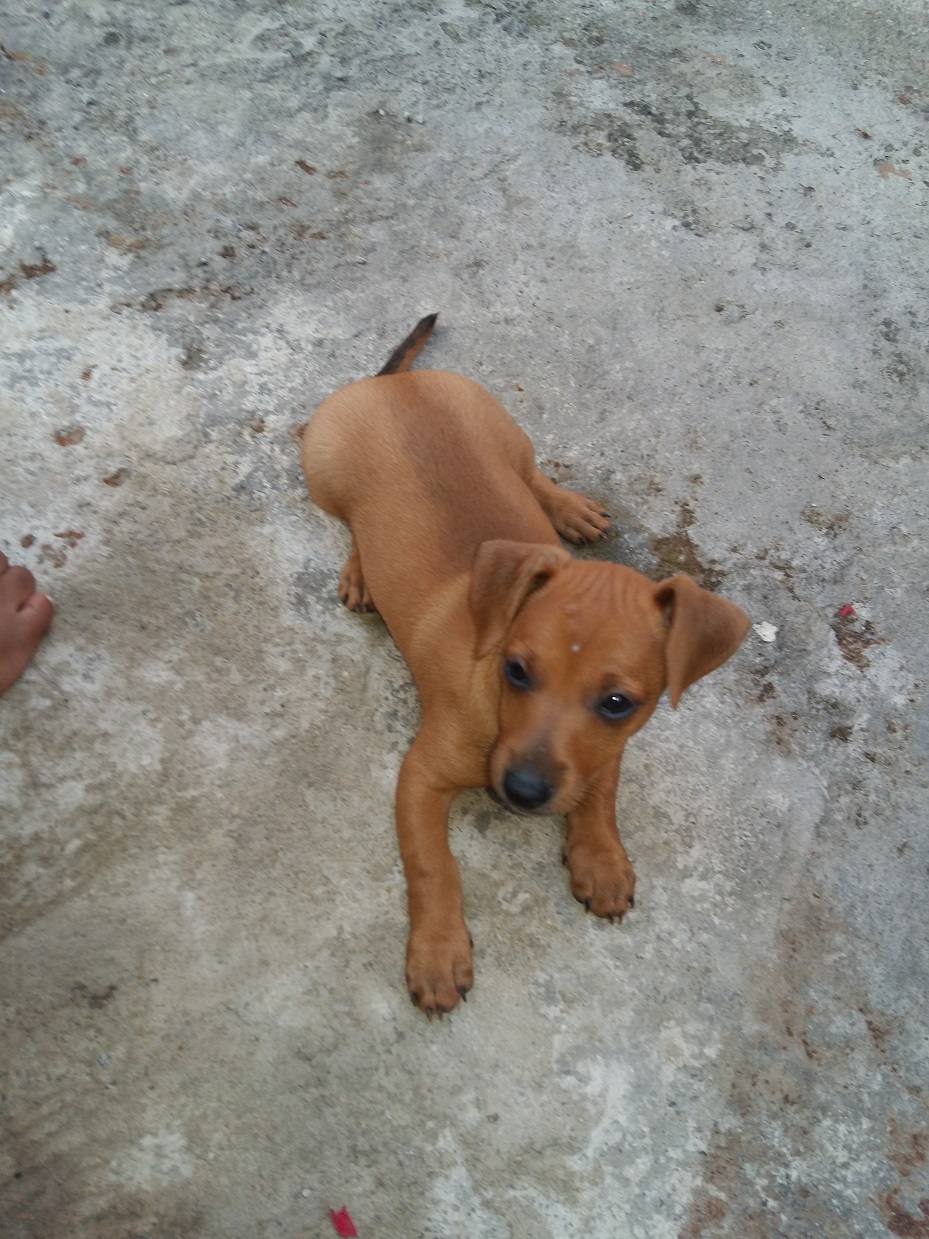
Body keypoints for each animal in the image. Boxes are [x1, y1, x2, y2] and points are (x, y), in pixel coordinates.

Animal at [302, 315, 751, 1016]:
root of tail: (394, 383)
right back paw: (361, 573)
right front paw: (438, 953)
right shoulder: (419, 778)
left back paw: (568, 509)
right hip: (322, 473)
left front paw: (601, 858)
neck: (492, 701)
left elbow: (600, 793)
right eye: (515, 670)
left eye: (618, 703)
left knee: (533, 473)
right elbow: (434, 867)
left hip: (508, 431)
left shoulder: (607, 750)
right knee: (351, 521)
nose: (523, 793)